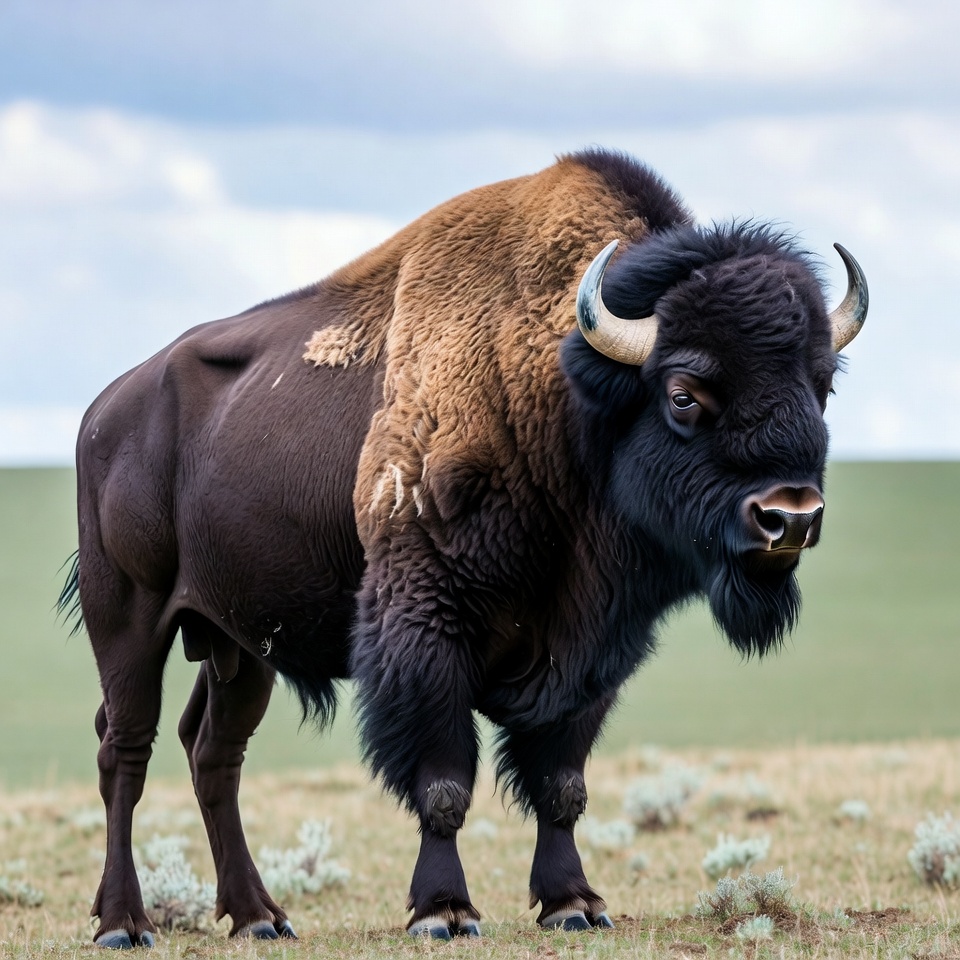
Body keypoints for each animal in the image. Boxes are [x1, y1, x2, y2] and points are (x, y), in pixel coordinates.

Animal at [61, 148, 867, 945]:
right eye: (683, 393)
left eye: (821, 387)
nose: (789, 518)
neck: (555, 395)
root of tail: (104, 411)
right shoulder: (426, 633)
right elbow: (444, 783)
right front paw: (444, 911)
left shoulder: (590, 654)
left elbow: (561, 784)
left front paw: (574, 904)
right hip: (128, 619)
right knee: (124, 749)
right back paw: (125, 924)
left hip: (237, 645)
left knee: (213, 753)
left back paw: (260, 917)